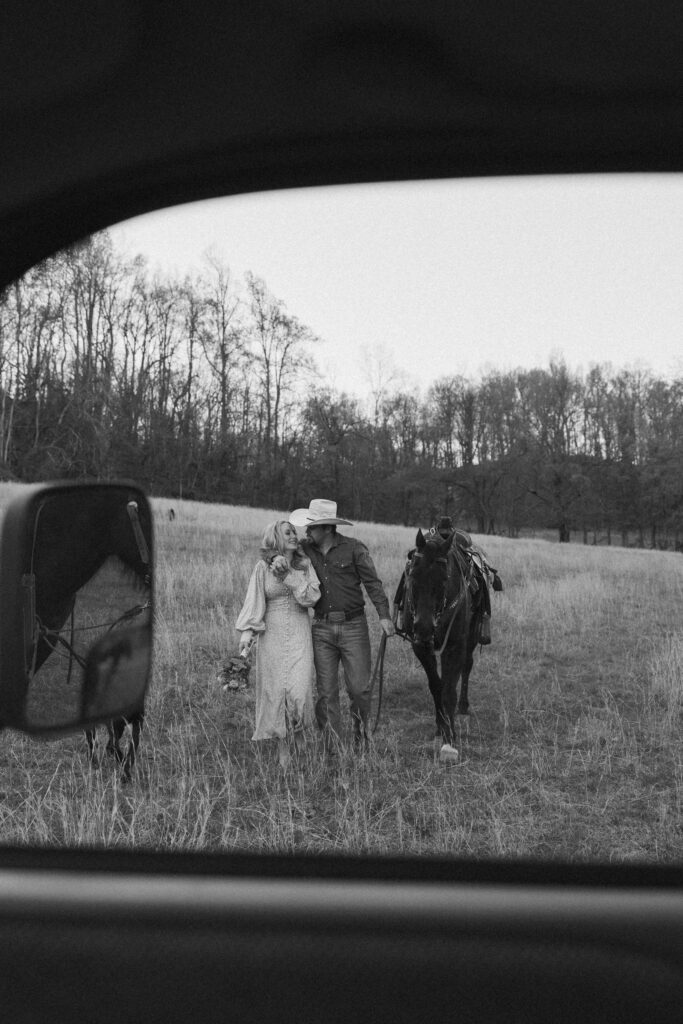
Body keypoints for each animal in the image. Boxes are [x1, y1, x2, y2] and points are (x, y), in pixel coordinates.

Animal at [401, 528, 485, 761]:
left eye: (445, 579)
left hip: (471, 637)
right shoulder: (421, 647)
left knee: (467, 666)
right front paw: (440, 725)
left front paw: (450, 736)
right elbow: (436, 685)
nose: (424, 628)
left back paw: (463, 706)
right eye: (413, 574)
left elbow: (448, 690)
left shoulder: (454, 647)